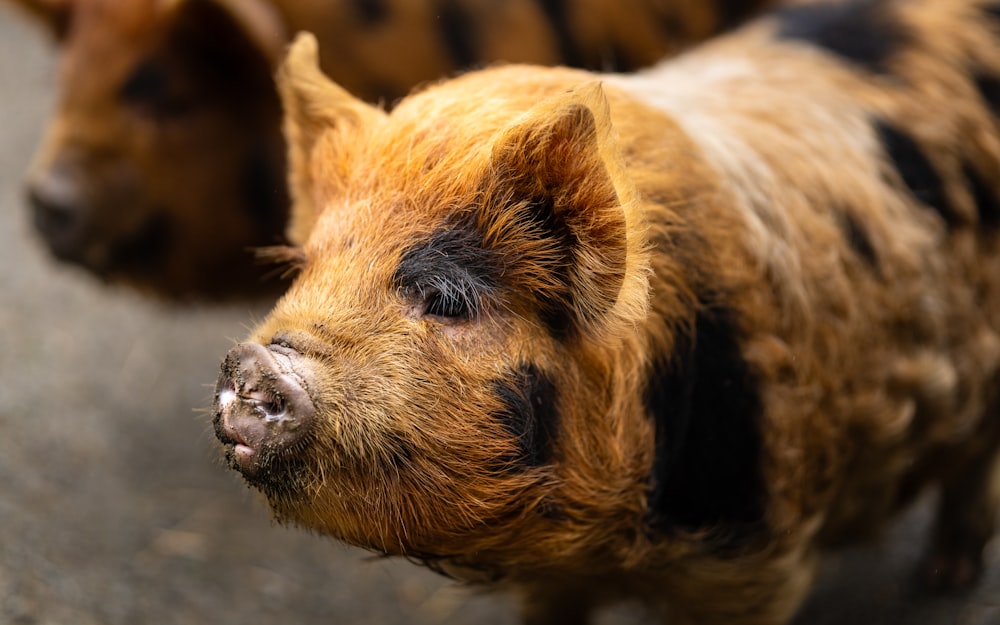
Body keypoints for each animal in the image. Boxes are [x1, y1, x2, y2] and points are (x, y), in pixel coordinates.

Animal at [209, 0, 1000, 620]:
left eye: (446, 297)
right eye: (305, 268)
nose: (256, 362)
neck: (614, 548)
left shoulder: (754, 558)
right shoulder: (557, 578)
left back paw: (944, 581)